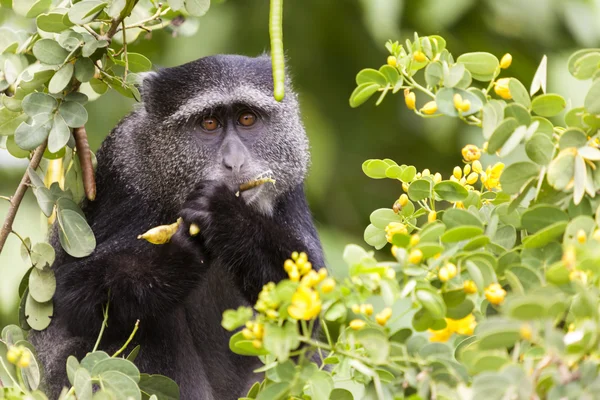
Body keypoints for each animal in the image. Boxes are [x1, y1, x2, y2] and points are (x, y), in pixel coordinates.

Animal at [29, 54, 326, 400]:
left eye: (247, 118)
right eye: (209, 123)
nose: (234, 161)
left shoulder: (288, 182)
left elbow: (306, 303)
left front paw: (227, 218)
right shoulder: (123, 167)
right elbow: (71, 293)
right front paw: (175, 259)